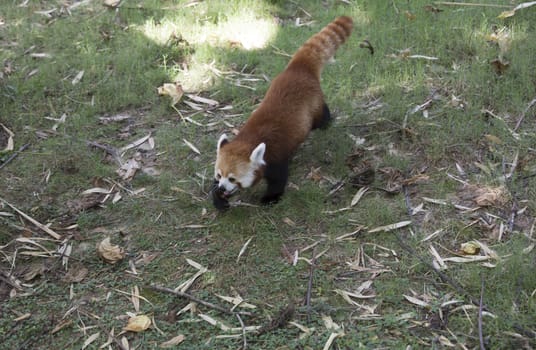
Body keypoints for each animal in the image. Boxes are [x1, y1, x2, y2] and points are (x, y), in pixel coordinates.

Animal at [211, 16, 354, 209]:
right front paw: (218, 198)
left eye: (233, 179)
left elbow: (278, 180)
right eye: (219, 175)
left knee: (320, 117)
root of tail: (297, 68)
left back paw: (326, 121)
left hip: (314, 105)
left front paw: (270, 198)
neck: (250, 140)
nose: (222, 187)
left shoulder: (275, 158)